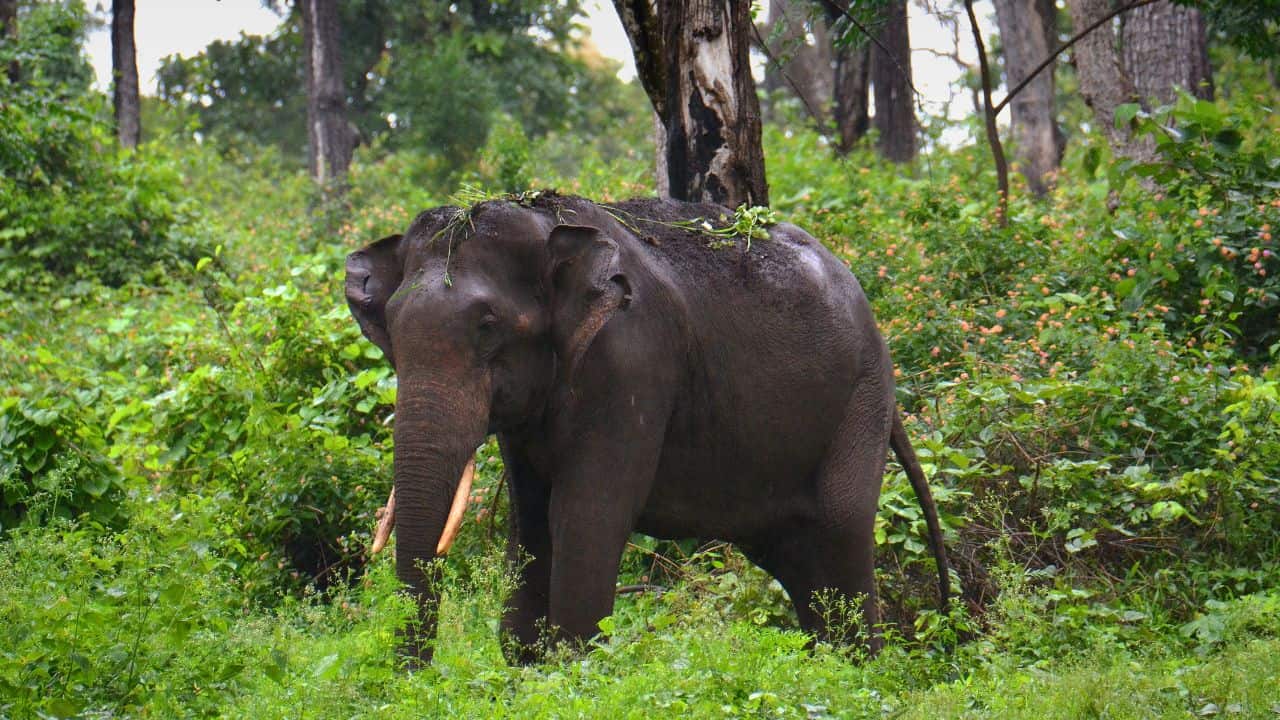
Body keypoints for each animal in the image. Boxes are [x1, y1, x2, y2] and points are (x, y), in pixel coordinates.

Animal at [344, 194, 950, 665]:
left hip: (860, 403)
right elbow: (532, 520)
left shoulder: (630, 360)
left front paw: (569, 674)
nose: (415, 677)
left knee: (841, 535)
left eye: (488, 326)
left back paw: (859, 674)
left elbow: (587, 514)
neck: (546, 227)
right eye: (390, 330)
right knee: (799, 558)